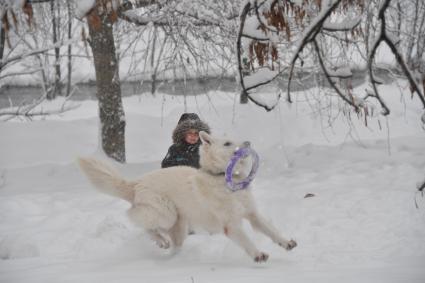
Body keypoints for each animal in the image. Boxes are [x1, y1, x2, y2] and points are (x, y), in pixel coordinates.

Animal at [77, 132, 294, 262]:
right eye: (227, 143)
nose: (248, 143)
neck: (223, 179)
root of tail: (136, 183)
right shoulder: (231, 225)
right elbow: (247, 241)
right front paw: (258, 254)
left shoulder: (253, 215)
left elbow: (271, 230)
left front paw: (286, 243)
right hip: (167, 213)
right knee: (141, 222)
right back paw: (160, 241)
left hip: (178, 225)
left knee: (172, 243)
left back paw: (172, 254)